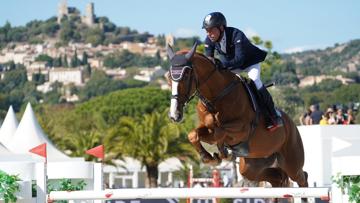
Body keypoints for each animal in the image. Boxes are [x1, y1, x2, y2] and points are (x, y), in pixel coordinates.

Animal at [167, 43, 308, 190]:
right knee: (276, 177)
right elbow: (194, 134)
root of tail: (292, 124)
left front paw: (221, 153)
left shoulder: (243, 129)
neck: (216, 97)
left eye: (186, 75)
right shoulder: (205, 127)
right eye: (169, 78)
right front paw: (210, 157)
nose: (174, 115)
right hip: (252, 165)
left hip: (291, 161)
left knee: (302, 177)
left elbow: (218, 132)